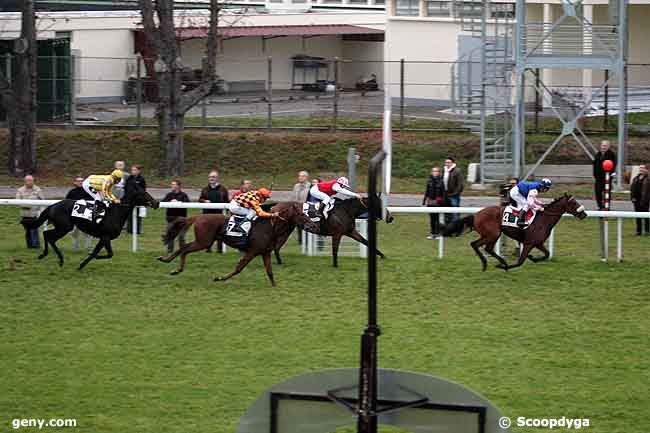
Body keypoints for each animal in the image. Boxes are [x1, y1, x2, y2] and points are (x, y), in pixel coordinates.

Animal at [25, 187, 158, 268]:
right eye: (144, 194)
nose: (157, 203)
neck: (116, 213)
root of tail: (53, 205)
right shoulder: (106, 237)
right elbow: (108, 254)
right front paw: (91, 258)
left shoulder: (103, 238)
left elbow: (98, 252)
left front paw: (82, 265)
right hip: (64, 227)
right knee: (48, 236)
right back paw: (56, 258)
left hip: (63, 227)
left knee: (47, 235)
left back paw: (47, 255)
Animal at [157, 201, 314, 286]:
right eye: (301, 214)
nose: (313, 225)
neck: (270, 226)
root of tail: (197, 217)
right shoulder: (252, 251)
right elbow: (239, 268)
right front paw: (219, 278)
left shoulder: (265, 252)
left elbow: (269, 271)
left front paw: (275, 286)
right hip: (204, 241)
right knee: (184, 248)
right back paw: (176, 268)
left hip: (203, 241)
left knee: (183, 248)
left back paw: (167, 261)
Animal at [440, 193, 588, 270]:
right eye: (573, 203)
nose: (584, 214)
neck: (543, 219)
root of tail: (476, 215)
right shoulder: (529, 243)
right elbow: (520, 262)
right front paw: (506, 266)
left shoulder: (538, 243)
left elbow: (547, 254)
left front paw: (533, 258)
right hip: (492, 234)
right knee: (475, 244)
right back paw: (489, 263)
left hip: (495, 234)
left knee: (487, 248)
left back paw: (499, 261)